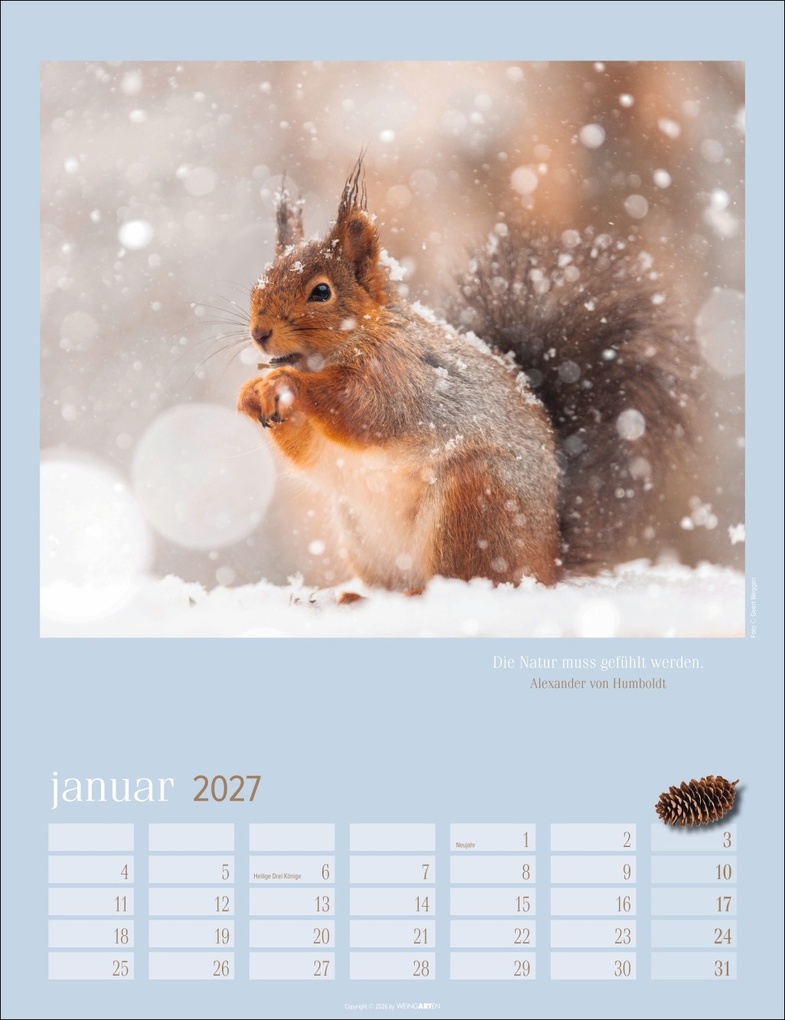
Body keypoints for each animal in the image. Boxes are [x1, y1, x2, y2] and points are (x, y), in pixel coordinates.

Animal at [237, 159, 693, 592]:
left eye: (321, 292)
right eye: (258, 283)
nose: (259, 333)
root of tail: (548, 561)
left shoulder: (401, 378)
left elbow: (360, 410)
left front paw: (287, 384)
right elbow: (307, 450)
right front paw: (250, 394)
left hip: (474, 503)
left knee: (468, 576)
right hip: (364, 535)